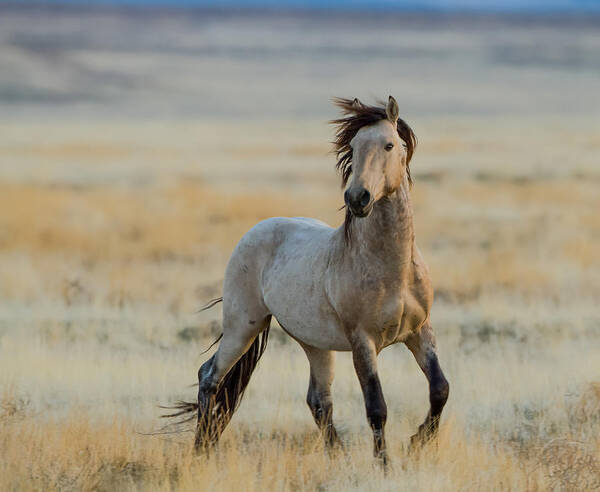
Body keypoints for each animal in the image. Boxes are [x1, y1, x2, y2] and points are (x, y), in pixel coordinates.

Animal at [166, 95, 448, 466]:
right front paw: (385, 465)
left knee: (319, 401)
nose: (357, 198)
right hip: (243, 325)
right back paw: (201, 450)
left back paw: (338, 457)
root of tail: (256, 230)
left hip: (314, 343)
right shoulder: (363, 342)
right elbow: (377, 407)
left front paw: (417, 442)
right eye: (353, 147)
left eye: (389, 145)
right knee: (210, 376)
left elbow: (440, 389)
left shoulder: (419, 332)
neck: (392, 268)